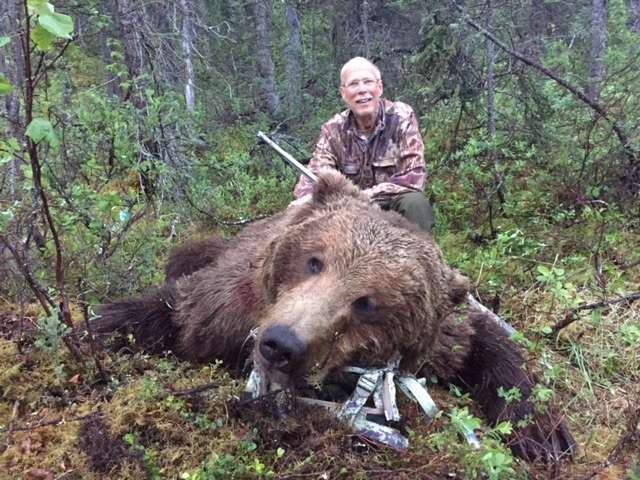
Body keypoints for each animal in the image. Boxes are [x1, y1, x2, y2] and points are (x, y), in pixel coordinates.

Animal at [93, 170, 575, 462]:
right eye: (314, 261)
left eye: (367, 302)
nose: (280, 343)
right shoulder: (226, 302)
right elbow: (168, 312)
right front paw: (89, 328)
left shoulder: (436, 337)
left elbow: (483, 341)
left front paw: (544, 434)